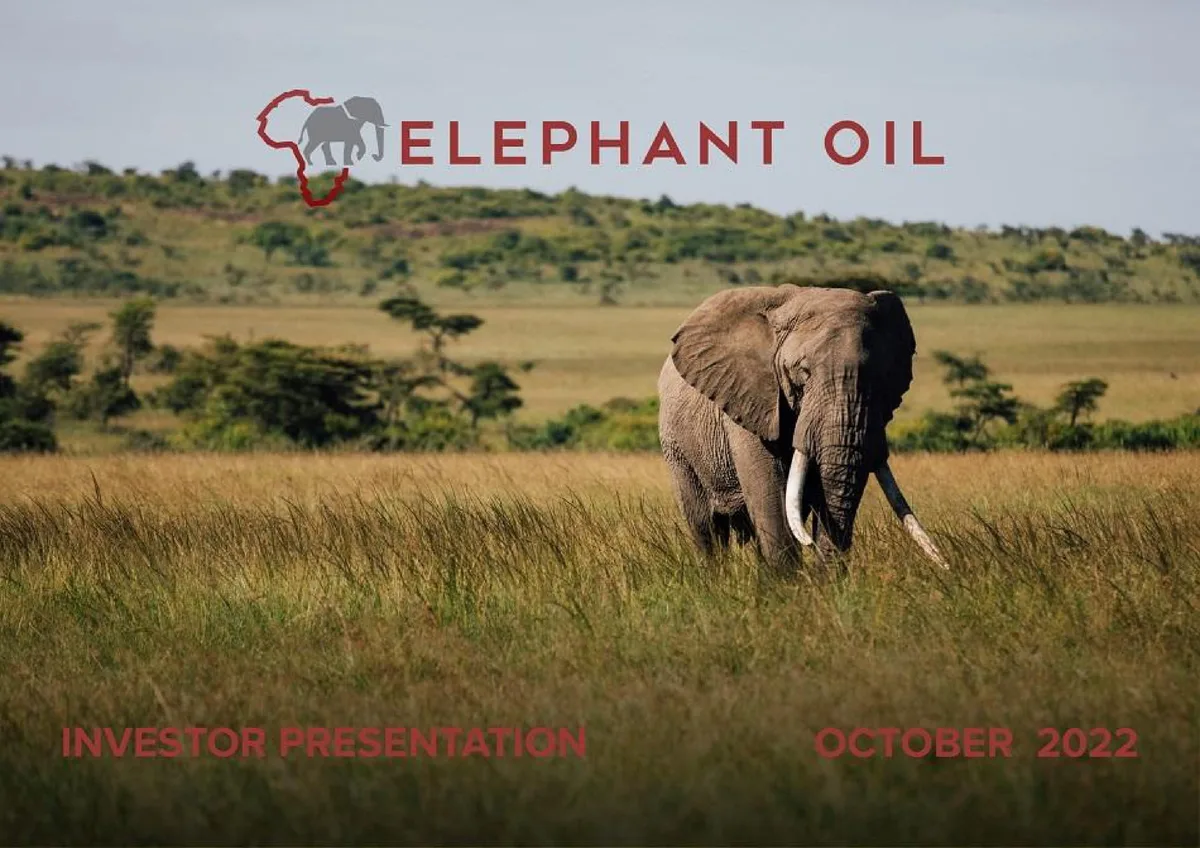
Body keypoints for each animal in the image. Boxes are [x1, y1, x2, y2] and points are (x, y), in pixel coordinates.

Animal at [657, 284, 948, 574]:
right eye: (802, 373)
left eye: (882, 377)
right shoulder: (751, 401)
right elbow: (771, 496)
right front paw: (790, 585)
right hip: (677, 448)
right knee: (707, 527)